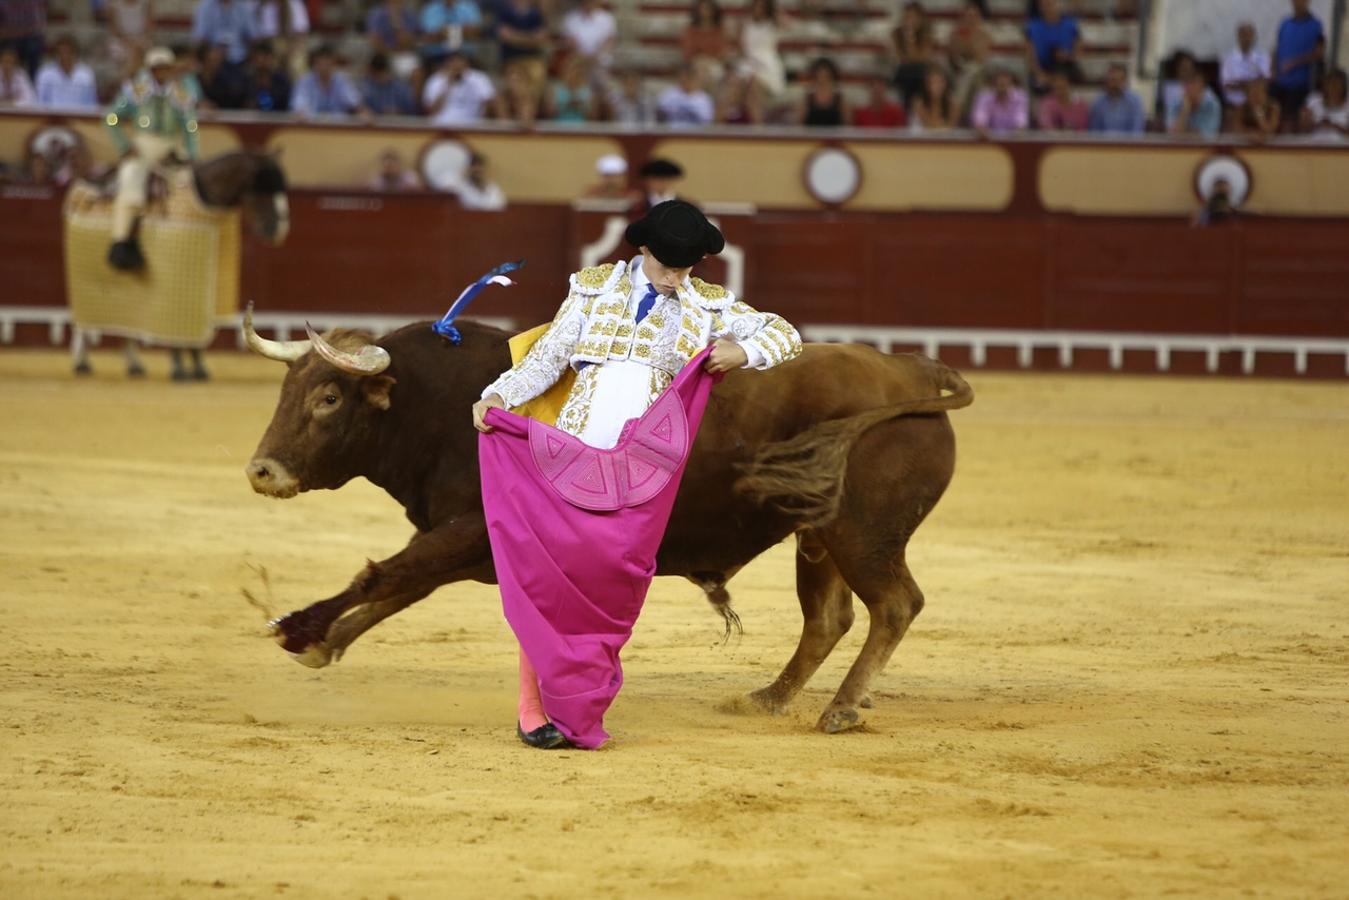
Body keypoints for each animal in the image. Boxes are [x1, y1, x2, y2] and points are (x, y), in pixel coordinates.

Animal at [245, 307, 971, 734]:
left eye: (329, 398)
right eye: (287, 391)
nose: (262, 471)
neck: (438, 403)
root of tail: (910, 370)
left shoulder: (467, 529)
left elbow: (383, 574)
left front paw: (298, 627)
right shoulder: (465, 538)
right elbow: (402, 584)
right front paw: (326, 640)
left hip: (863, 533)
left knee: (893, 605)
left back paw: (841, 708)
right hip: (818, 534)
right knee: (828, 618)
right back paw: (768, 697)